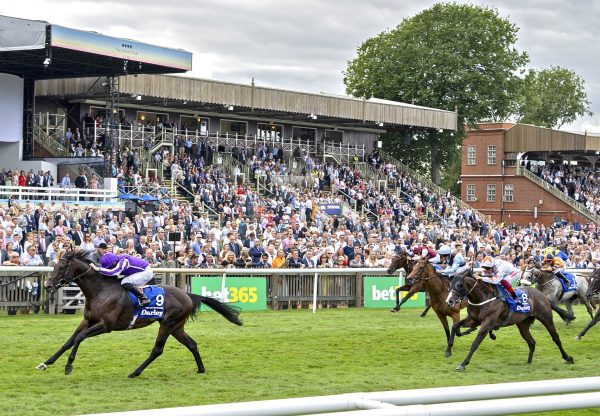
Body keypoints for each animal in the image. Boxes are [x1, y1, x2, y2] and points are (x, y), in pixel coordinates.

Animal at [37, 250, 243, 376]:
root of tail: (187, 294)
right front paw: (46, 362)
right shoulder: (88, 321)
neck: (100, 291)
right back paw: (200, 369)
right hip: (177, 327)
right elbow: (69, 341)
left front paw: (68, 366)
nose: (47, 285)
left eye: (61, 267)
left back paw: (135, 372)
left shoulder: (105, 325)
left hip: (168, 324)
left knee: (157, 350)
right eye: (54, 267)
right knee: (191, 344)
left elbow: (79, 338)